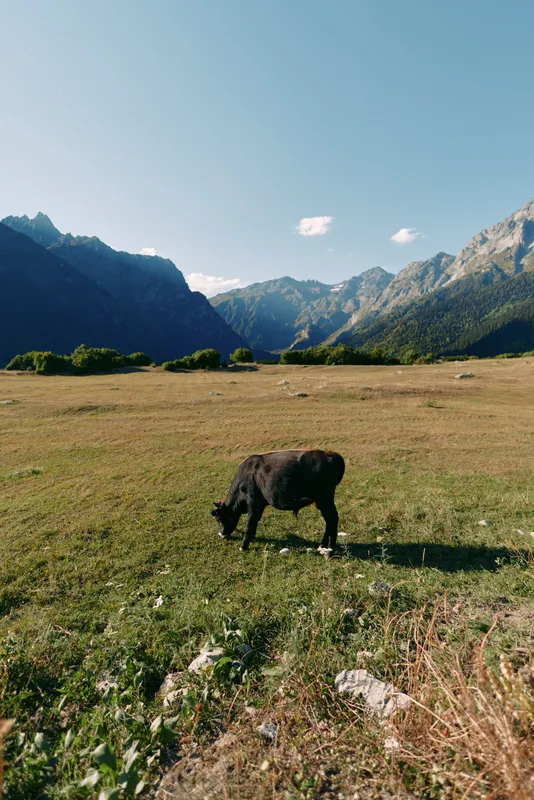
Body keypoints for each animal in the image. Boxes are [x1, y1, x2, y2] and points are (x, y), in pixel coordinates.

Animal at [211, 449, 345, 554]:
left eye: (219, 518)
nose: (221, 535)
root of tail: (329, 454)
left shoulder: (253, 503)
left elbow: (250, 523)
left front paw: (243, 546)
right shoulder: (260, 504)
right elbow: (255, 522)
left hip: (324, 499)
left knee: (332, 519)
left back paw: (330, 550)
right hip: (321, 501)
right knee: (329, 520)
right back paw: (322, 546)